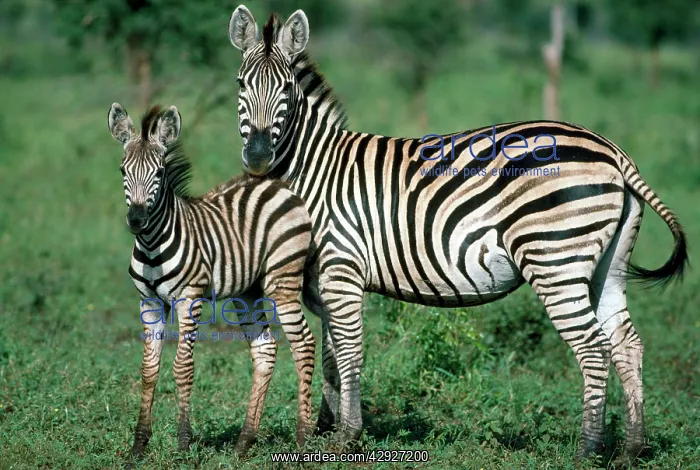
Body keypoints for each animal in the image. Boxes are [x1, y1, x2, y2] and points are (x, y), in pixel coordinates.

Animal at [107, 103, 316, 456]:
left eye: (159, 173)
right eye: (123, 171)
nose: (136, 220)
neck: (151, 244)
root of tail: (277, 183)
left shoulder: (188, 299)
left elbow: (182, 367)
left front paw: (183, 441)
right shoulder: (149, 303)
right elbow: (149, 370)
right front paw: (139, 444)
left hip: (283, 279)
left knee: (304, 345)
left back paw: (302, 438)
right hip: (247, 293)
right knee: (265, 350)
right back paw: (244, 442)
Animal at [227, 6, 688, 464]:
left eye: (287, 88)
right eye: (240, 83)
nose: (258, 158)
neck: (315, 170)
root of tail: (613, 151)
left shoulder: (341, 267)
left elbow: (349, 349)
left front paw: (347, 436)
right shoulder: (320, 281)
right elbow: (331, 354)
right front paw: (326, 426)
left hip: (556, 258)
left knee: (593, 349)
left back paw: (588, 450)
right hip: (606, 265)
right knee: (627, 344)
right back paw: (632, 448)